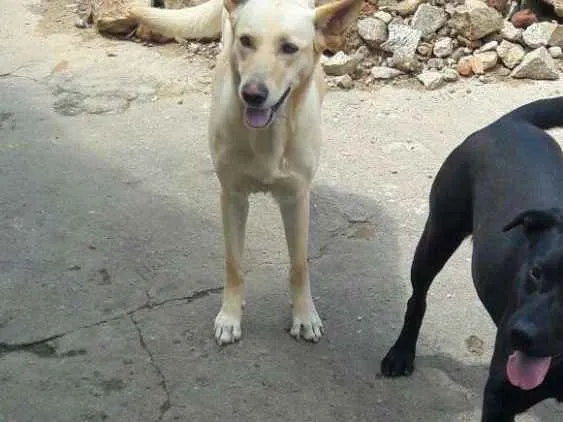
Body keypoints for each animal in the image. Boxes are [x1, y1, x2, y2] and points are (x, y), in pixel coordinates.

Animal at [130, 0, 364, 344]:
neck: (267, 137)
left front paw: (304, 314)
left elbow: (299, 265)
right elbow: (234, 263)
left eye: (289, 48)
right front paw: (230, 315)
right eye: (246, 41)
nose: (252, 93)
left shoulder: (295, 199)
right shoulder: (233, 197)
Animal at [382, 97, 563, 420]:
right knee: (417, 298)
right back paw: (401, 353)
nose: (519, 334)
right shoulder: (499, 397)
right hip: (438, 235)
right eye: (535, 272)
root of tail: (510, 123)